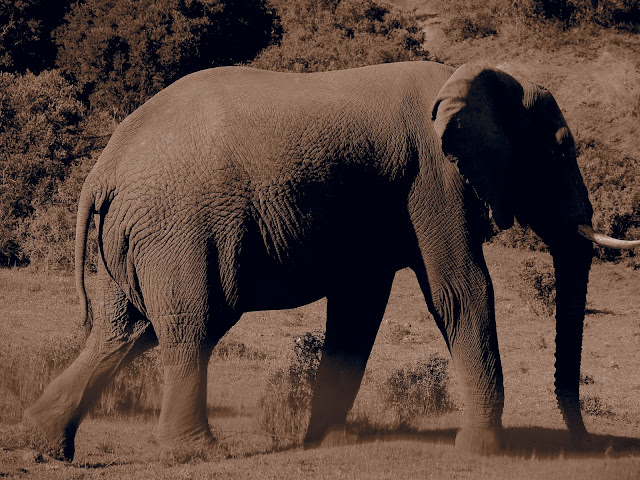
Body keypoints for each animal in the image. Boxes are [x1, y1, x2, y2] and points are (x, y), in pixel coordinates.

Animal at [22, 61, 636, 462]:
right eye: (562, 149)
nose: (592, 446)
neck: (479, 74)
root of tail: (104, 171)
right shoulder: (434, 180)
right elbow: (462, 292)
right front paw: (483, 453)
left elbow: (358, 312)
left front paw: (328, 443)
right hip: (179, 228)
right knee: (190, 327)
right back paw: (199, 454)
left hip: (136, 235)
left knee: (122, 330)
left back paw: (46, 446)